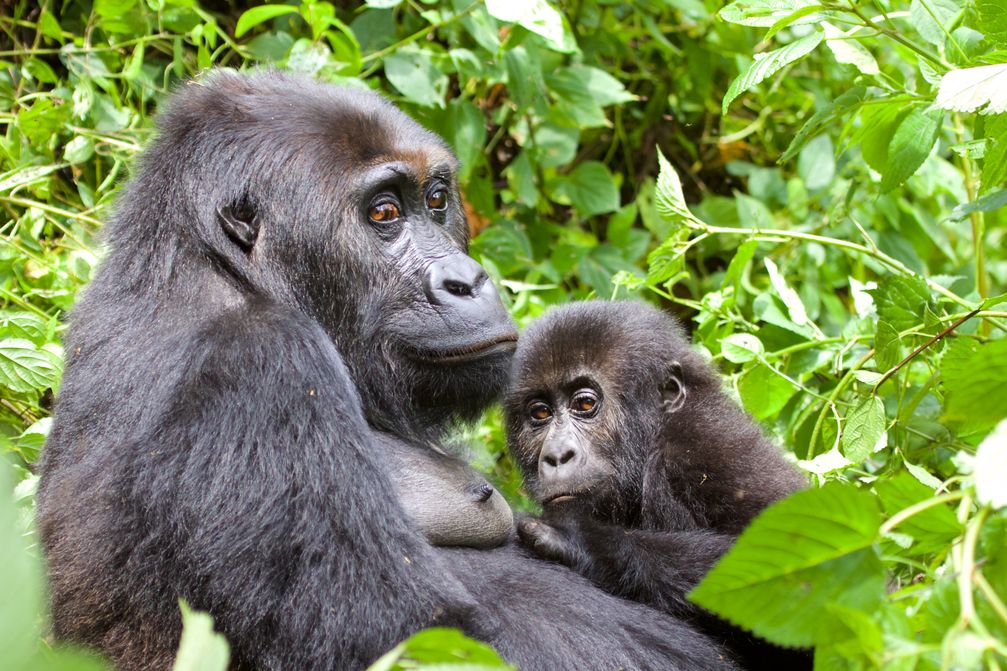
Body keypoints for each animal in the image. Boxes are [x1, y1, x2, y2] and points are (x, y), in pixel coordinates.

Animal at [37, 70, 733, 664]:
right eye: (384, 213)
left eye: (435, 199)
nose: (467, 280)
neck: (205, 266)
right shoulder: (257, 361)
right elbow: (422, 637)